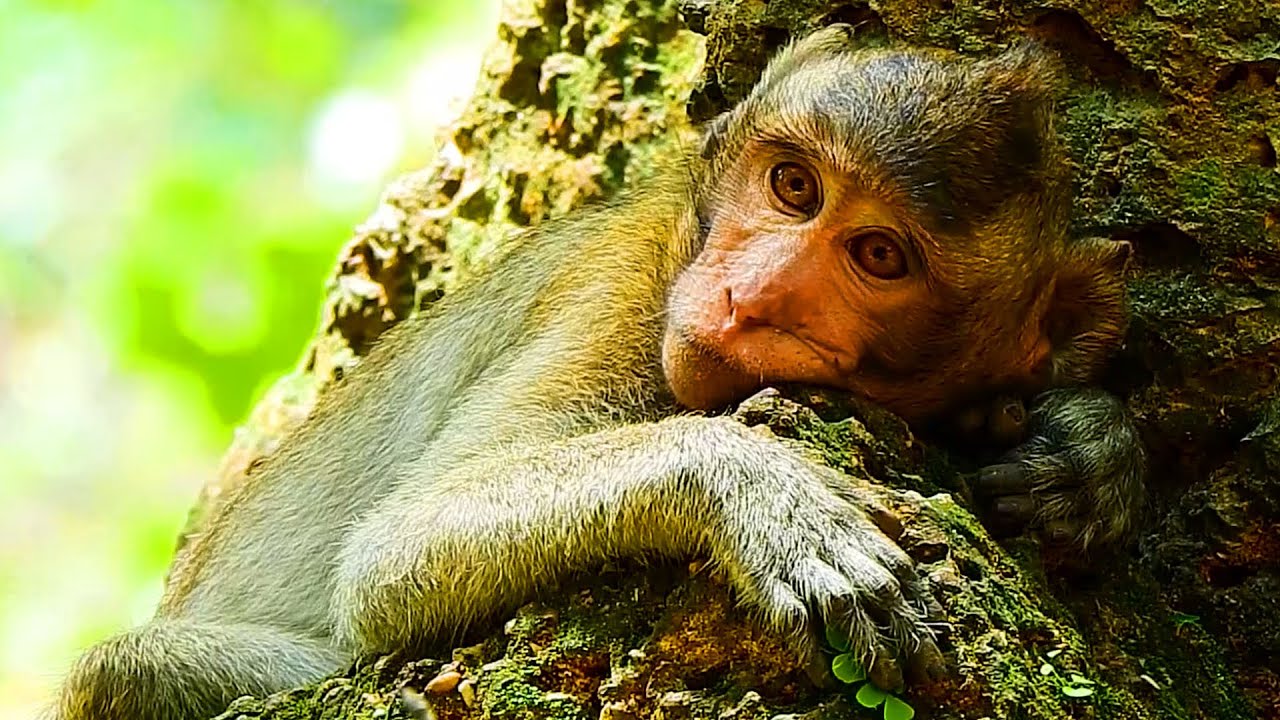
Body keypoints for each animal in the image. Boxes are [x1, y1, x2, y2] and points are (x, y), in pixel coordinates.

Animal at [51, 25, 1145, 720]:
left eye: (878, 255)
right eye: (793, 186)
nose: (752, 297)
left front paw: (1086, 452)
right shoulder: (621, 297)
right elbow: (392, 554)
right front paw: (761, 496)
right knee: (122, 677)